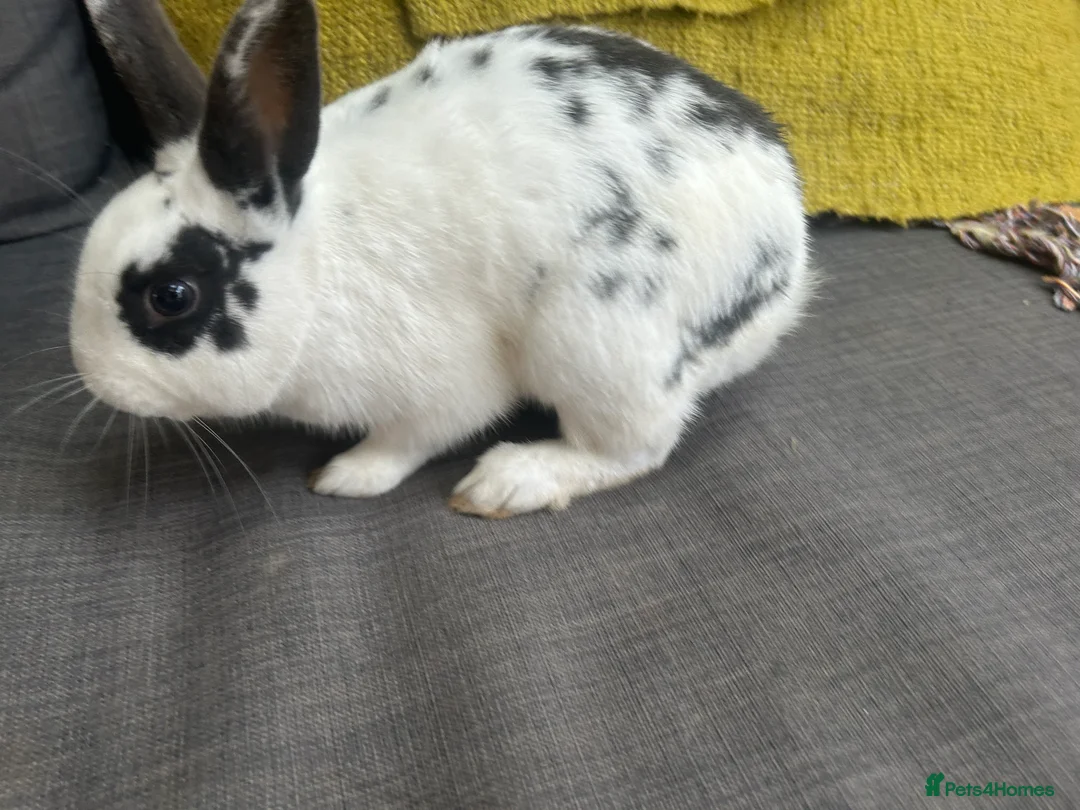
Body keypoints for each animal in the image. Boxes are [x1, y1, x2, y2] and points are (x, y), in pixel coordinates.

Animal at [71, 0, 811, 519]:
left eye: (171, 296)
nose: (97, 380)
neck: (317, 264)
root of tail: (787, 256)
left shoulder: (438, 382)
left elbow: (412, 437)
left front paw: (345, 475)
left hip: (599, 341)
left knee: (635, 448)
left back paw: (507, 482)